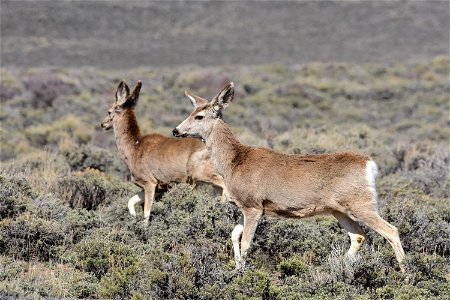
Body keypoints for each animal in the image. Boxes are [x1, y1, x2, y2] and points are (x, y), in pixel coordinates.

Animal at [100, 79, 223, 223]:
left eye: (109, 111)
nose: (103, 124)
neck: (133, 148)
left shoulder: (149, 181)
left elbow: (146, 213)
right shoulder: (158, 186)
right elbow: (131, 201)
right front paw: (133, 218)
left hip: (202, 172)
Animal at [172, 82, 404, 272]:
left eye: (199, 116)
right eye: (192, 111)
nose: (175, 130)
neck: (234, 162)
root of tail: (370, 165)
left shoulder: (254, 205)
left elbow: (246, 242)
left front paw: (243, 273)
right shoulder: (244, 206)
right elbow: (234, 234)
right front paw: (236, 269)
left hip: (361, 203)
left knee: (391, 230)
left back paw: (405, 274)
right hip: (340, 209)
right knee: (358, 236)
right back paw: (334, 267)